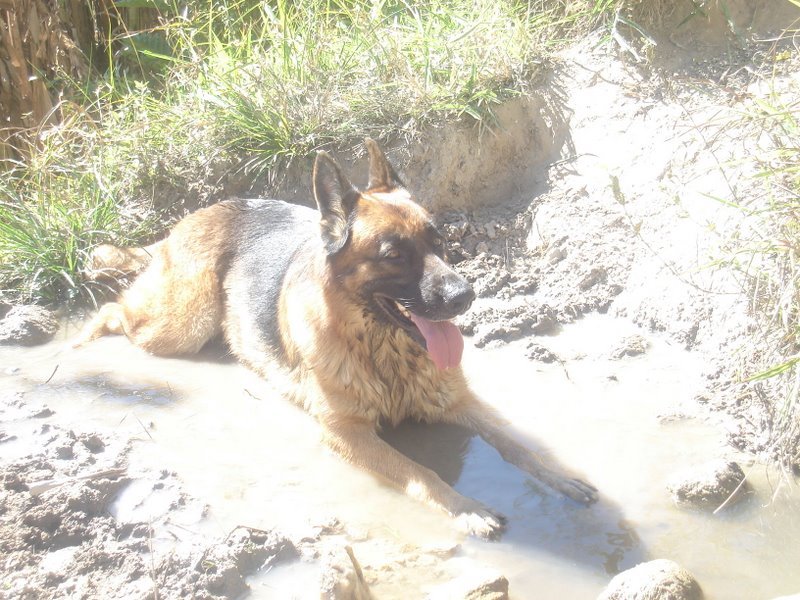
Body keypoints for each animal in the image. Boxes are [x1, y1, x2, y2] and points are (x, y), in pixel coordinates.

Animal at [75, 141, 596, 540]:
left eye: (439, 240)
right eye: (393, 255)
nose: (465, 296)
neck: (385, 349)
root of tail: (203, 211)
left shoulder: (457, 401)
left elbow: (516, 444)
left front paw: (560, 477)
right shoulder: (347, 434)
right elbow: (421, 471)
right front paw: (465, 506)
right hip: (181, 325)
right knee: (115, 309)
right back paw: (83, 339)